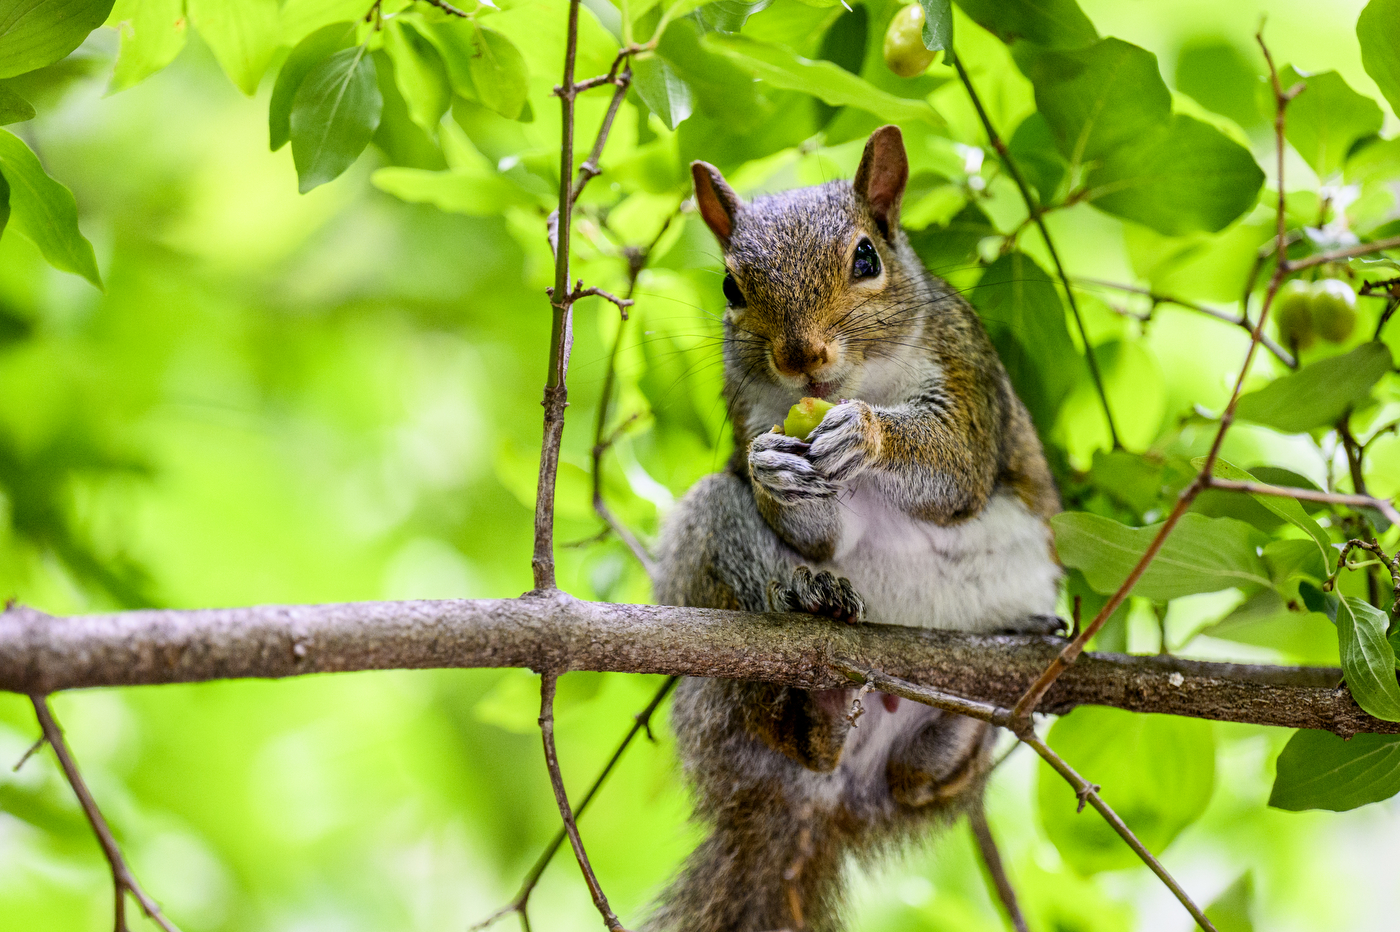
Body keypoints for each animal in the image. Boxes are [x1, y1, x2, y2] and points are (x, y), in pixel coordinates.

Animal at [644, 125, 1063, 932]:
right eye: (730, 289)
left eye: (867, 258)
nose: (801, 357)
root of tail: (824, 801)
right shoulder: (749, 409)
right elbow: (816, 534)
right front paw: (773, 469)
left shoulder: (965, 370)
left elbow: (956, 466)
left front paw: (867, 434)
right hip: (717, 625)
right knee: (789, 727)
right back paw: (815, 674)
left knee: (918, 781)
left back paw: (971, 714)